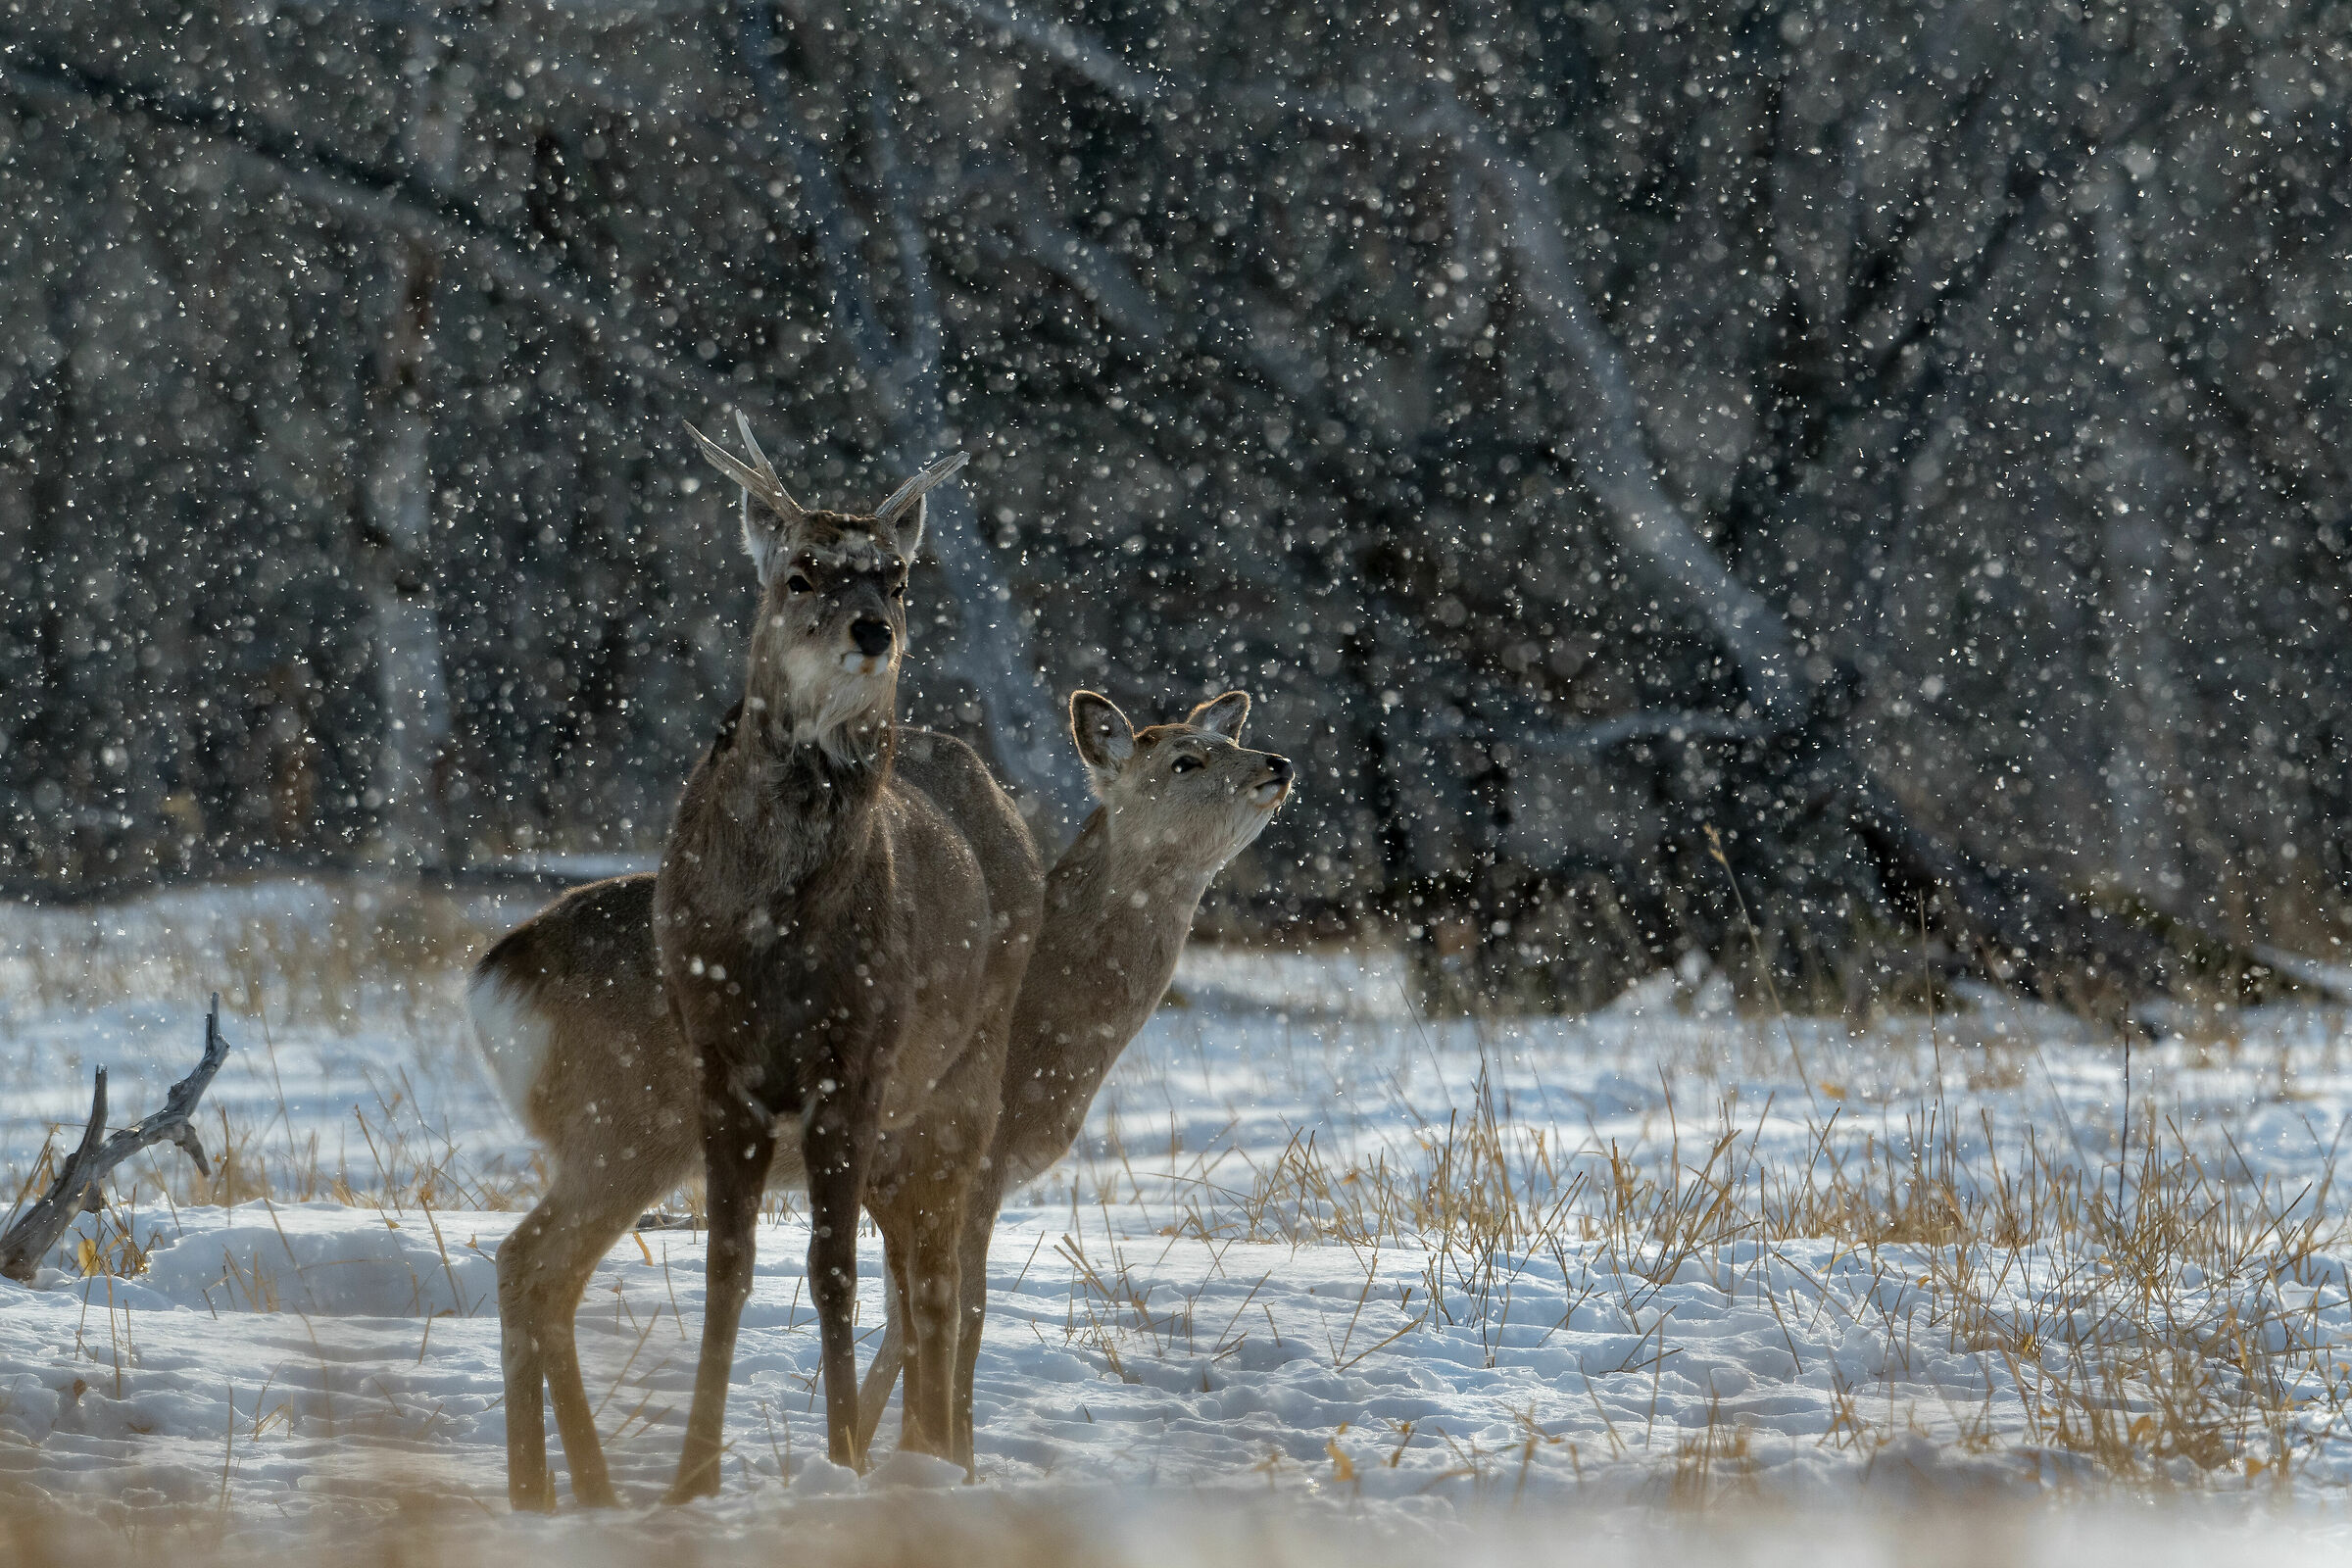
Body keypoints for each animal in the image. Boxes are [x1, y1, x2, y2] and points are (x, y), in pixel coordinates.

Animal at [471, 690, 1291, 1506]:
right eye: (1185, 759)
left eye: (1229, 737)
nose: (1276, 765)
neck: (1054, 1041)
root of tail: (502, 974)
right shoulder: (972, 1158)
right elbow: (959, 1308)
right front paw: (943, 1463)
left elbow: (906, 1313)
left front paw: (876, 1453)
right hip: (626, 1127)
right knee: (537, 1264)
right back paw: (573, 1489)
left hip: (614, 1138)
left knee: (535, 1272)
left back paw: (554, 1490)